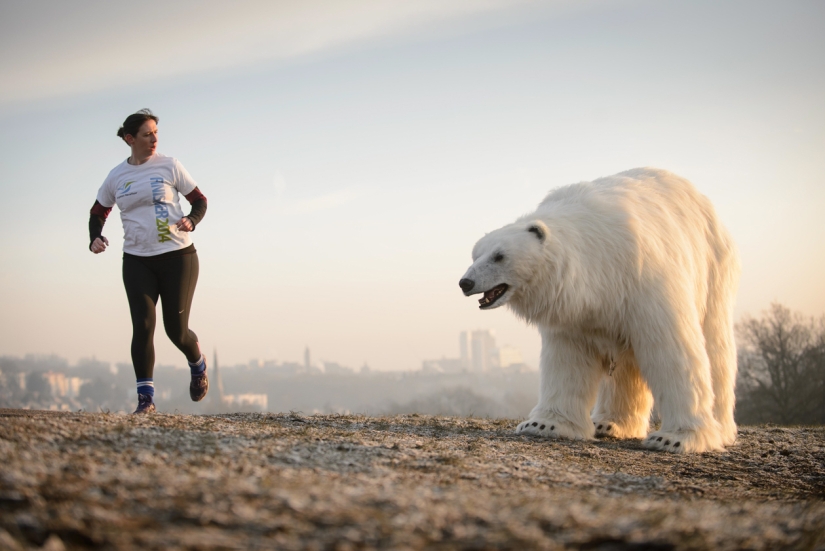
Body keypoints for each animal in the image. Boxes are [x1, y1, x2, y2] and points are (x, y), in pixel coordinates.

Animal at [459, 168, 740, 453]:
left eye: (499, 256)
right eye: (475, 255)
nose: (465, 283)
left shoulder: (644, 279)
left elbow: (671, 349)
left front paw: (674, 438)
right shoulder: (574, 312)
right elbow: (568, 359)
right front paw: (543, 425)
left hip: (713, 266)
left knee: (715, 345)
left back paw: (721, 429)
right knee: (626, 368)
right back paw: (608, 424)